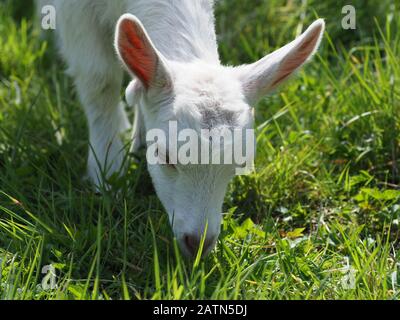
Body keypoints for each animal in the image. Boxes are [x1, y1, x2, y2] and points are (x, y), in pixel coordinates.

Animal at [37, 0, 324, 256]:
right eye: (165, 157)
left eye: (240, 165)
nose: (198, 243)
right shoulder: (76, 12)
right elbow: (99, 78)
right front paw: (107, 173)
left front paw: (136, 141)